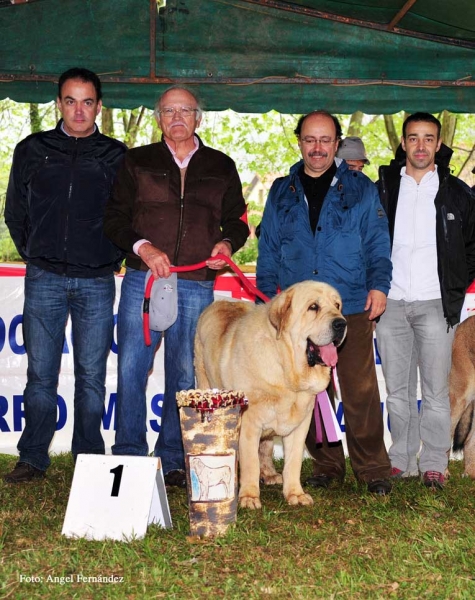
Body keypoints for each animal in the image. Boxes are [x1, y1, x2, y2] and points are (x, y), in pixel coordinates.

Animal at [195, 284, 348, 508]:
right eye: (313, 307)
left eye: (337, 306)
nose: (341, 323)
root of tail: (219, 302)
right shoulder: (249, 423)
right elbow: (250, 463)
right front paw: (249, 497)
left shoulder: (300, 425)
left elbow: (293, 462)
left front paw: (295, 494)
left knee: (266, 447)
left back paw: (269, 474)